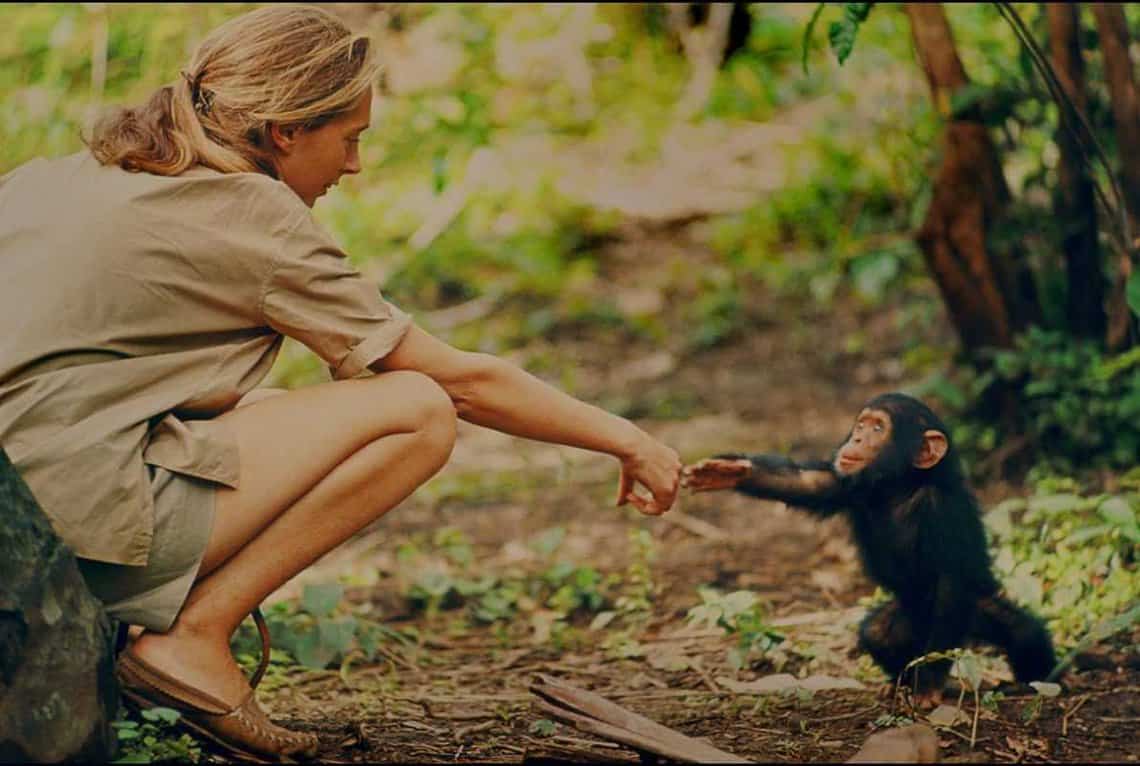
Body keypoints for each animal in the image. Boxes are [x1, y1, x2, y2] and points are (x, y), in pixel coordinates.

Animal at [682, 392, 1057, 703]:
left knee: (1024, 634)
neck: (900, 485)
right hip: (907, 617)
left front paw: (930, 684)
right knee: (878, 635)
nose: (858, 437)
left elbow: (951, 584)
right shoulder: (846, 483)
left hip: (972, 613)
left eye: (879, 428)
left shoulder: (944, 514)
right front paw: (728, 471)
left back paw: (1038, 681)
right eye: (862, 424)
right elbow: (807, 483)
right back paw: (900, 681)